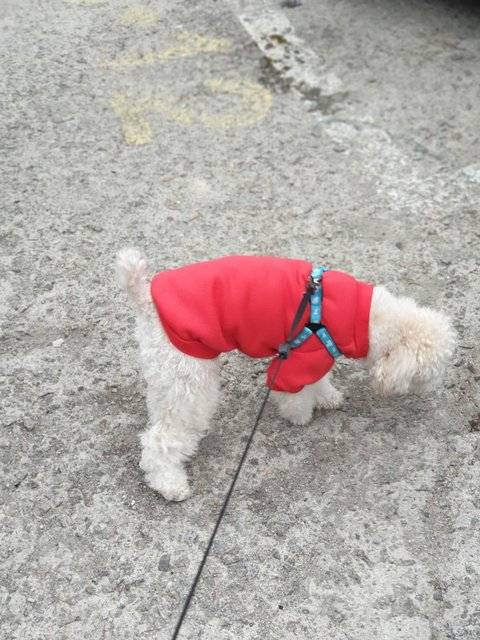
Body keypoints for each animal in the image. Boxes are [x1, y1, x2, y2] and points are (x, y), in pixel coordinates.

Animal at [116, 248, 455, 501]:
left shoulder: (316, 356)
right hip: (189, 380)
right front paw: (301, 416)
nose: (436, 387)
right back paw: (170, 483)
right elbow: (294, 394)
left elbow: (319, 382)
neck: (365, 317)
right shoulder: (296, 360)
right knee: (161, 439)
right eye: (426, 375)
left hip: (169, 375)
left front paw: (327, 397)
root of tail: (146, 298)